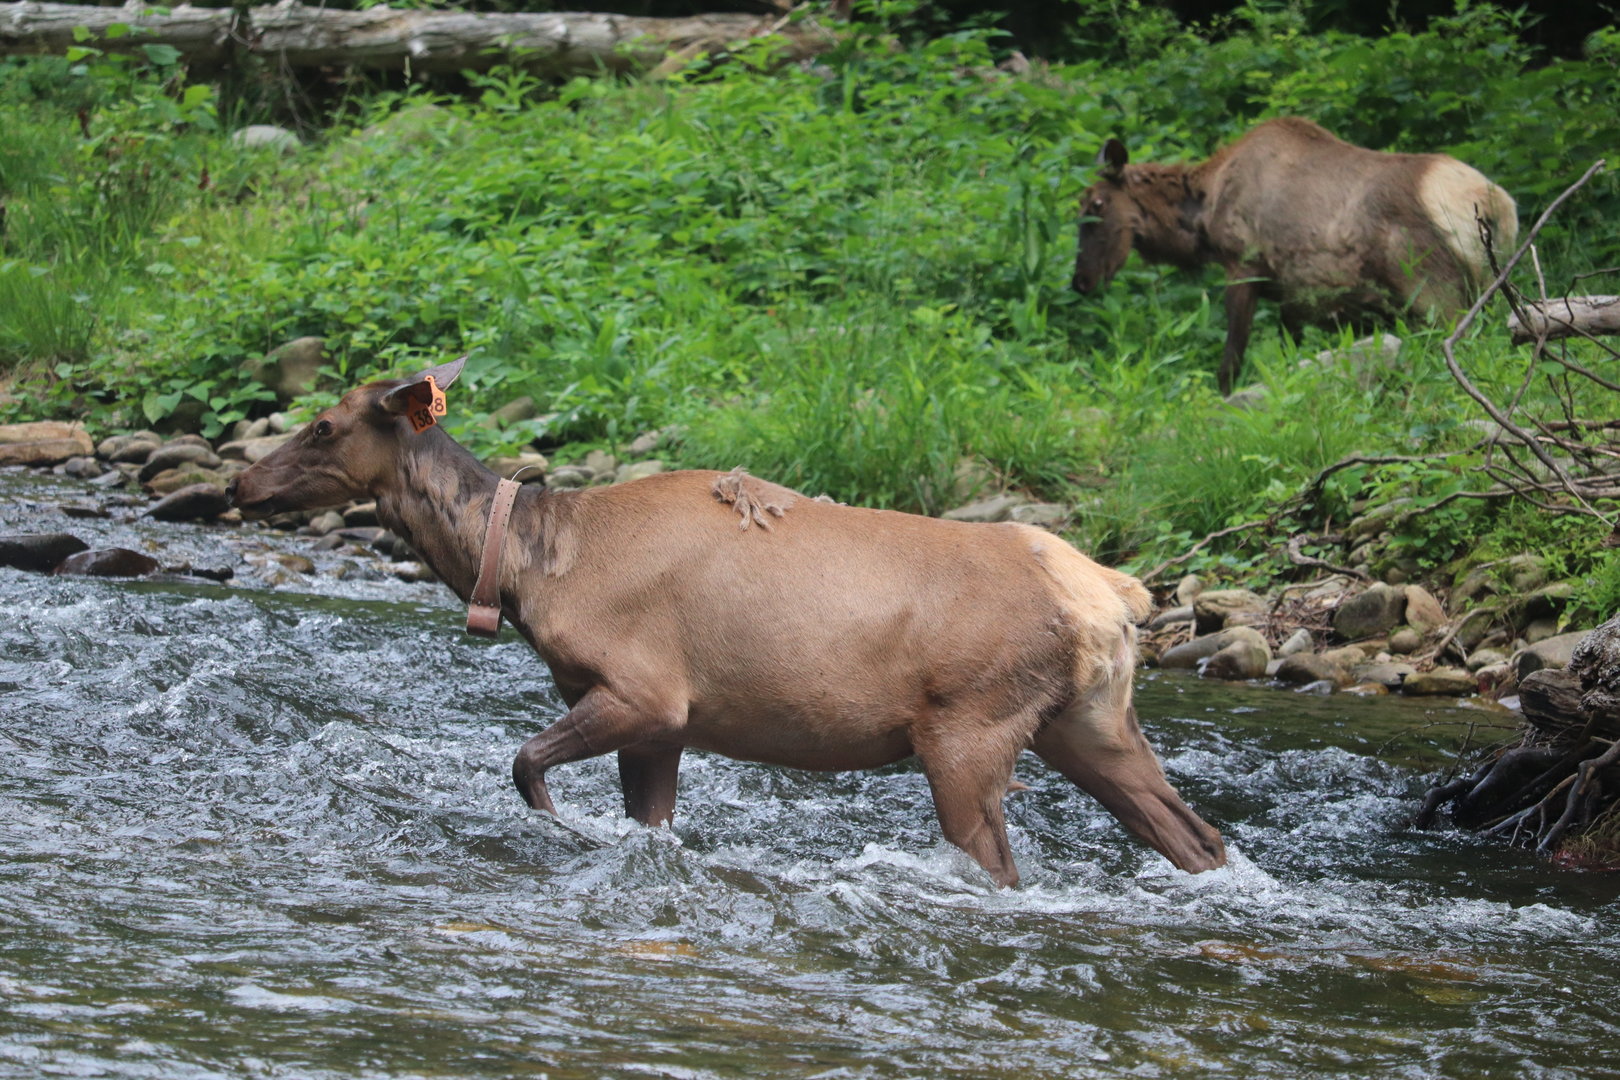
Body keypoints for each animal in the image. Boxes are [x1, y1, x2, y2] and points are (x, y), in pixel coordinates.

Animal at [226, 356, 1226, 887]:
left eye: (321, 425)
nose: (239, 484)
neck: (527, 570)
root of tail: (1116, 596)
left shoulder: (647, 693)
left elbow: (524, 767)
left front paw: (564, 834)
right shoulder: (660, 729)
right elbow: (647, 824)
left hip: (968, 729)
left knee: (1005, 866)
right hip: (1090, 724)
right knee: (1197, 836)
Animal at [1071, 117, 1519, 393]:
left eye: (1096, 205)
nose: (1080, 281)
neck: (1203, 216)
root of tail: (1494, 204)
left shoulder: (1244, 267)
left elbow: (1231, 363)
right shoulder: (1297, 297)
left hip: (1432, 287)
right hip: (1488, 286)